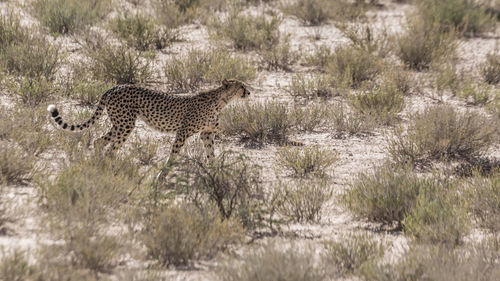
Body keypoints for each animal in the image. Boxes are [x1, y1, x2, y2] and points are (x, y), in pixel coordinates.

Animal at [47, 78, 250, 162]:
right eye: (241, 86)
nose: (249, 92)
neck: (220, 101)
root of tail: (115, 87)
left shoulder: (207, 134)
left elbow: (211, 155)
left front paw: (215, 173)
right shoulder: (183, 132)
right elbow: (173, 155)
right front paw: (163, 175)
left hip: (121, 124)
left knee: (100, 143)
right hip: (125, 124)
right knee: (108, 147)